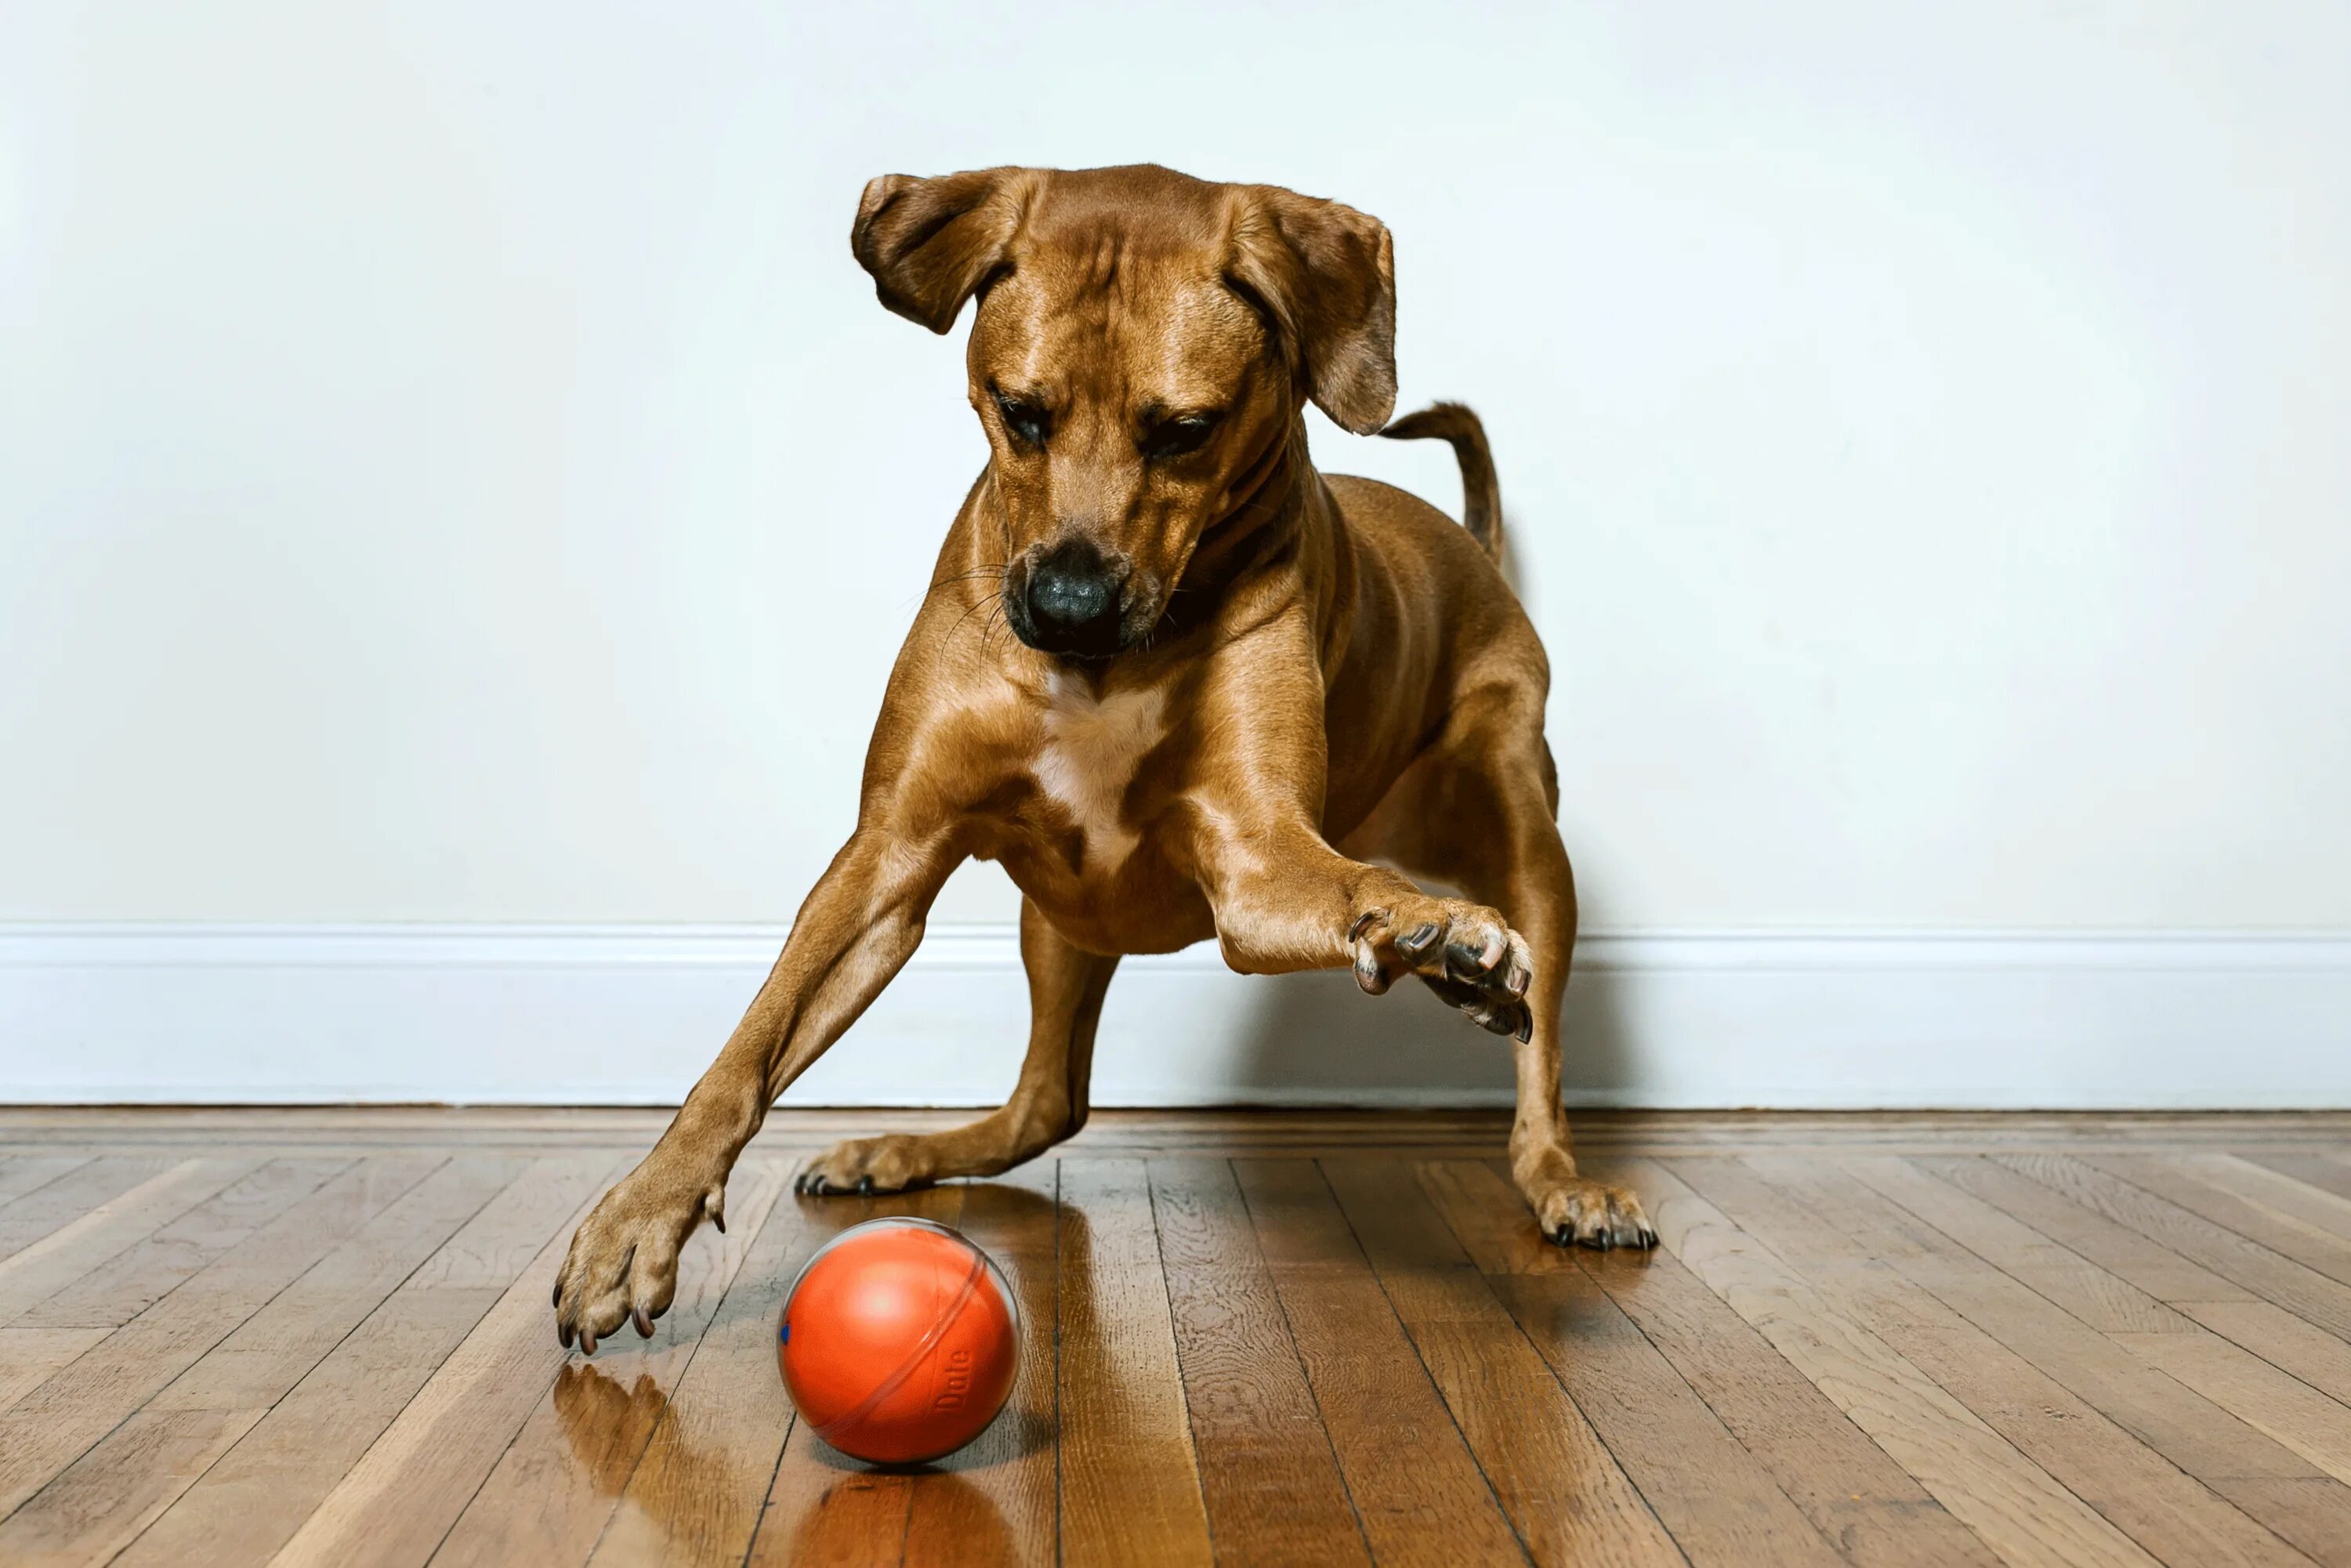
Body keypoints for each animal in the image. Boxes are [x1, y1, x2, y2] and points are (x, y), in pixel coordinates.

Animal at [550, 165, 1655, 1354]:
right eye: (1019, 412)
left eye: (1185, 432)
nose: (1065, 609)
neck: (1111, 668)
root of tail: (1474, 547)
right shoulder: (888, 856)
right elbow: (750, 1047)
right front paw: (638, 1217)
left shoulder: (1258, 865)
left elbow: (1349, 886)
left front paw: (1437, 933)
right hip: (1060, 920)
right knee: (1047, 1103)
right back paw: (908, 1150)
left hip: (1527, 833)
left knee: (1535, 1064)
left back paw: (1559, 1167)